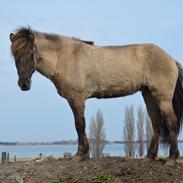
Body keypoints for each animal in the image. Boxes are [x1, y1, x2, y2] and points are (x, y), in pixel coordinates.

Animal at [9, 27, 183, 166]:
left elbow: (80, 125)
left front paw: (79, 155)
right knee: (156, 124)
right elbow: (81, 126)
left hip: (162, 97)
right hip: (148, 95)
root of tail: (171, 60)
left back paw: (171, 159)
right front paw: (84, 154)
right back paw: (149, 157)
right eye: (15, 56)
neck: (65, 57)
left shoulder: (77, 99)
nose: (24, 84)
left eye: (31, 54)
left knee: (171, 122)